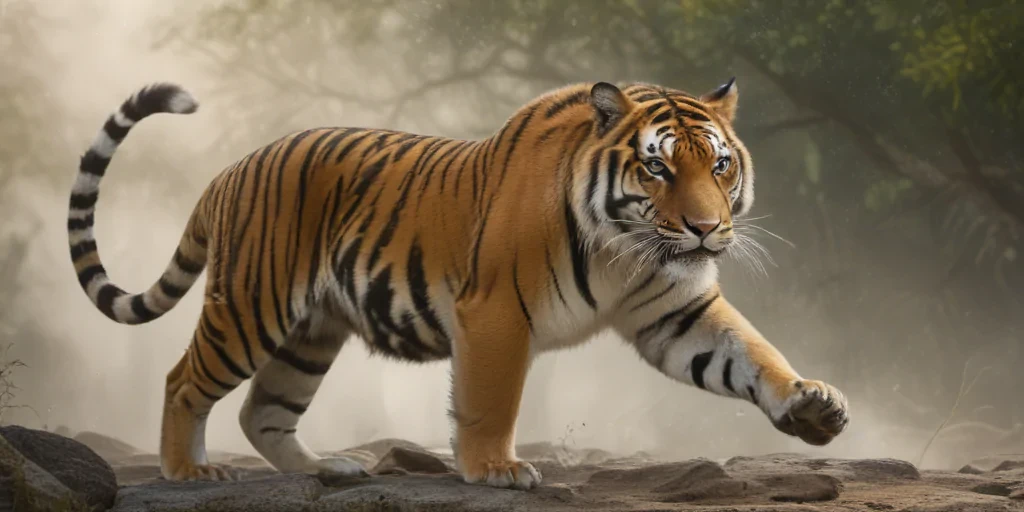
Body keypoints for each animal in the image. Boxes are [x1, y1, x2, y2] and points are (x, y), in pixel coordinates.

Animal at [66, 78, 849, 489]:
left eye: (719, 165)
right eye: (656, 167)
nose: (705, 229)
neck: (627, 249)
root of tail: (228, 171)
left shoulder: (677, 312)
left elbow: (752, 354)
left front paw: (812, 405)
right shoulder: (497, 312)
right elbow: (490, 400)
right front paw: (495, 468)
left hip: (310, 333)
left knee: (263, 409)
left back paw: (330, 468)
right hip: (253, 307)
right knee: (183, 381)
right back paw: (188, 473)